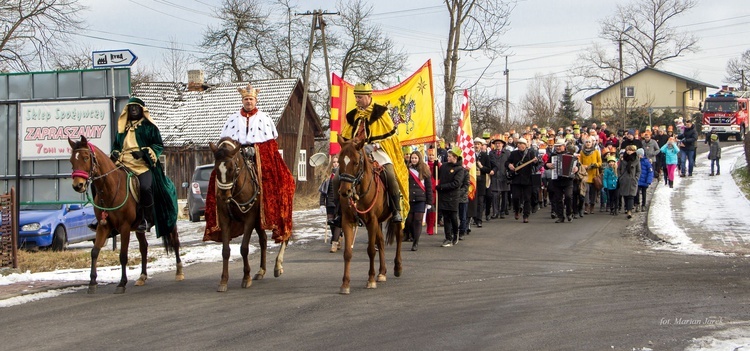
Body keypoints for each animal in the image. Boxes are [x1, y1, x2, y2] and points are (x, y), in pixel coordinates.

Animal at [68, 136, 184, 296]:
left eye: (86, 157)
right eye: (71, 160)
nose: (77, 185)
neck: (110, 189)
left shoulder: (124, 227)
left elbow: (123, 255)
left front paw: (122, 283)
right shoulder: (103, 227)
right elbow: (94, 252)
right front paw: (92, 282)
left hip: (170, 223)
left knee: (175, 242)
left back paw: (179, 272)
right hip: (139, 229)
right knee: (144, 247)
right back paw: (142, 277)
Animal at [210, 139, 290, 292]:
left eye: (232, 168)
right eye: (216, 168)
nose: (223, 196)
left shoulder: (249, 219)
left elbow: (244, 248)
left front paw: (246, 278)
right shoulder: (224, 219)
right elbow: (225, 250)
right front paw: (223, 281)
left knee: (285, 235)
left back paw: (278, 265)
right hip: (259, 221)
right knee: (263, 240)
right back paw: (261, 270)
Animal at [338, 136, 402, 296]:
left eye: (355, 162)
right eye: (340, 161)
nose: (345, 192)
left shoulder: (371, 221)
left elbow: (371, 250)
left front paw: (371, 279)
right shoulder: (347, 221)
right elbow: (348, 252)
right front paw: (345, 284)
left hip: (396, 216)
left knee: (399, 237)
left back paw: (397, 267)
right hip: (378, 222)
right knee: (381, 242)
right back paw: (382, 273)